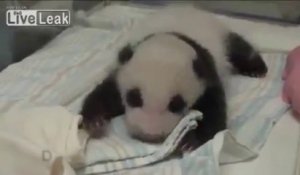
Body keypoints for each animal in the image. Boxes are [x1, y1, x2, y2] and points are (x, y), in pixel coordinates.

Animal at [79, 5, 268, 148]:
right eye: (134, 97)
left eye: (176, 104)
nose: (149, 134)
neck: (171, 37)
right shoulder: (123, 67)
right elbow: (105, 94)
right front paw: (94, 122)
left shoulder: (206, 74)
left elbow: (213, 110)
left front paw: (190, 141)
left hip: (221, 36)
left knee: (240, 49)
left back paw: (257, 69)